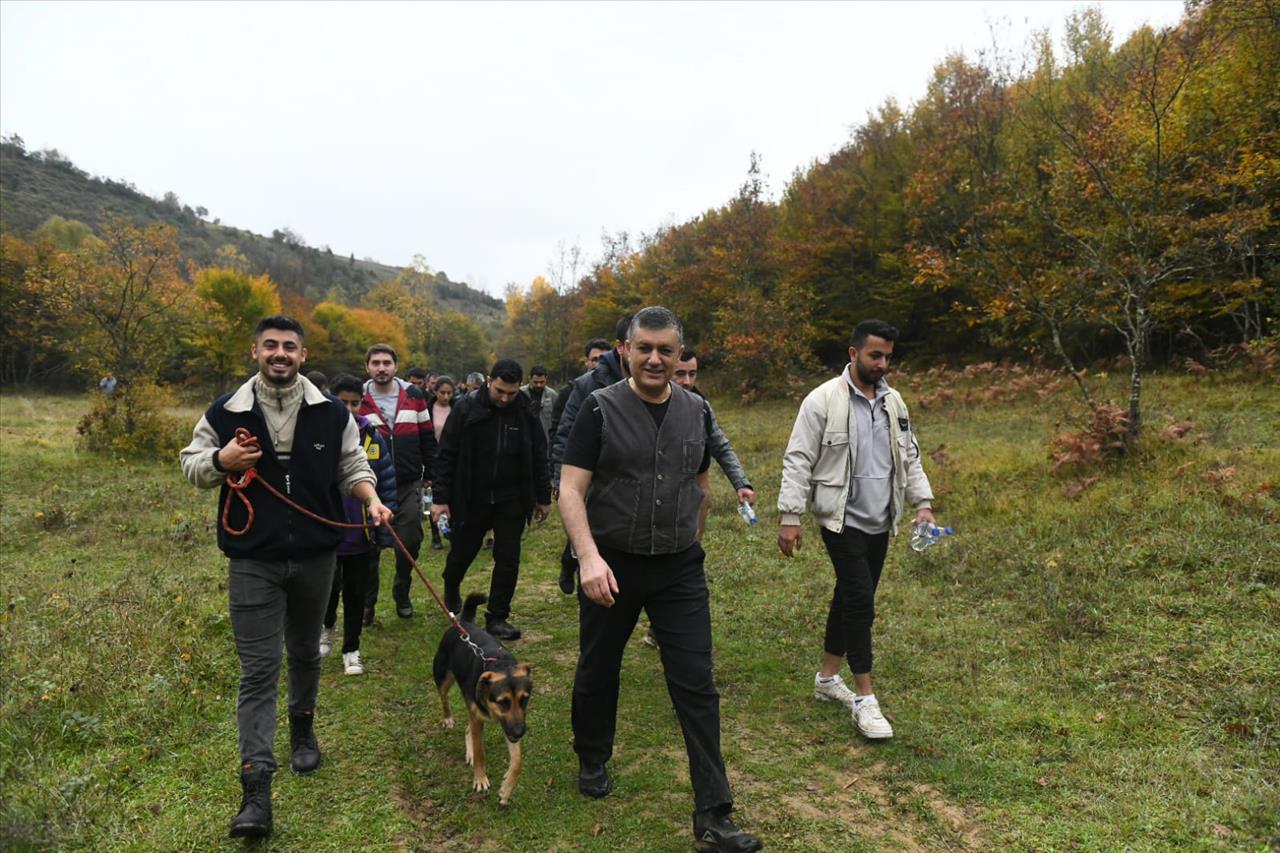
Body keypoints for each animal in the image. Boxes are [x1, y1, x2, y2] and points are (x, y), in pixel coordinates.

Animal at [430, 594, 529, 799]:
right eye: (503, 702)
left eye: (524, 699)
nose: (519, 732)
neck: (501, 666)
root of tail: (464, 623)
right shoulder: (481, 720)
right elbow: (480, 752)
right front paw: (480, 779)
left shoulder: (508, 724)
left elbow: (517, 761)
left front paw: (506, 789)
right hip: (443, 676)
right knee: (443, 698)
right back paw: (448, 718)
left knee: (468, 728)